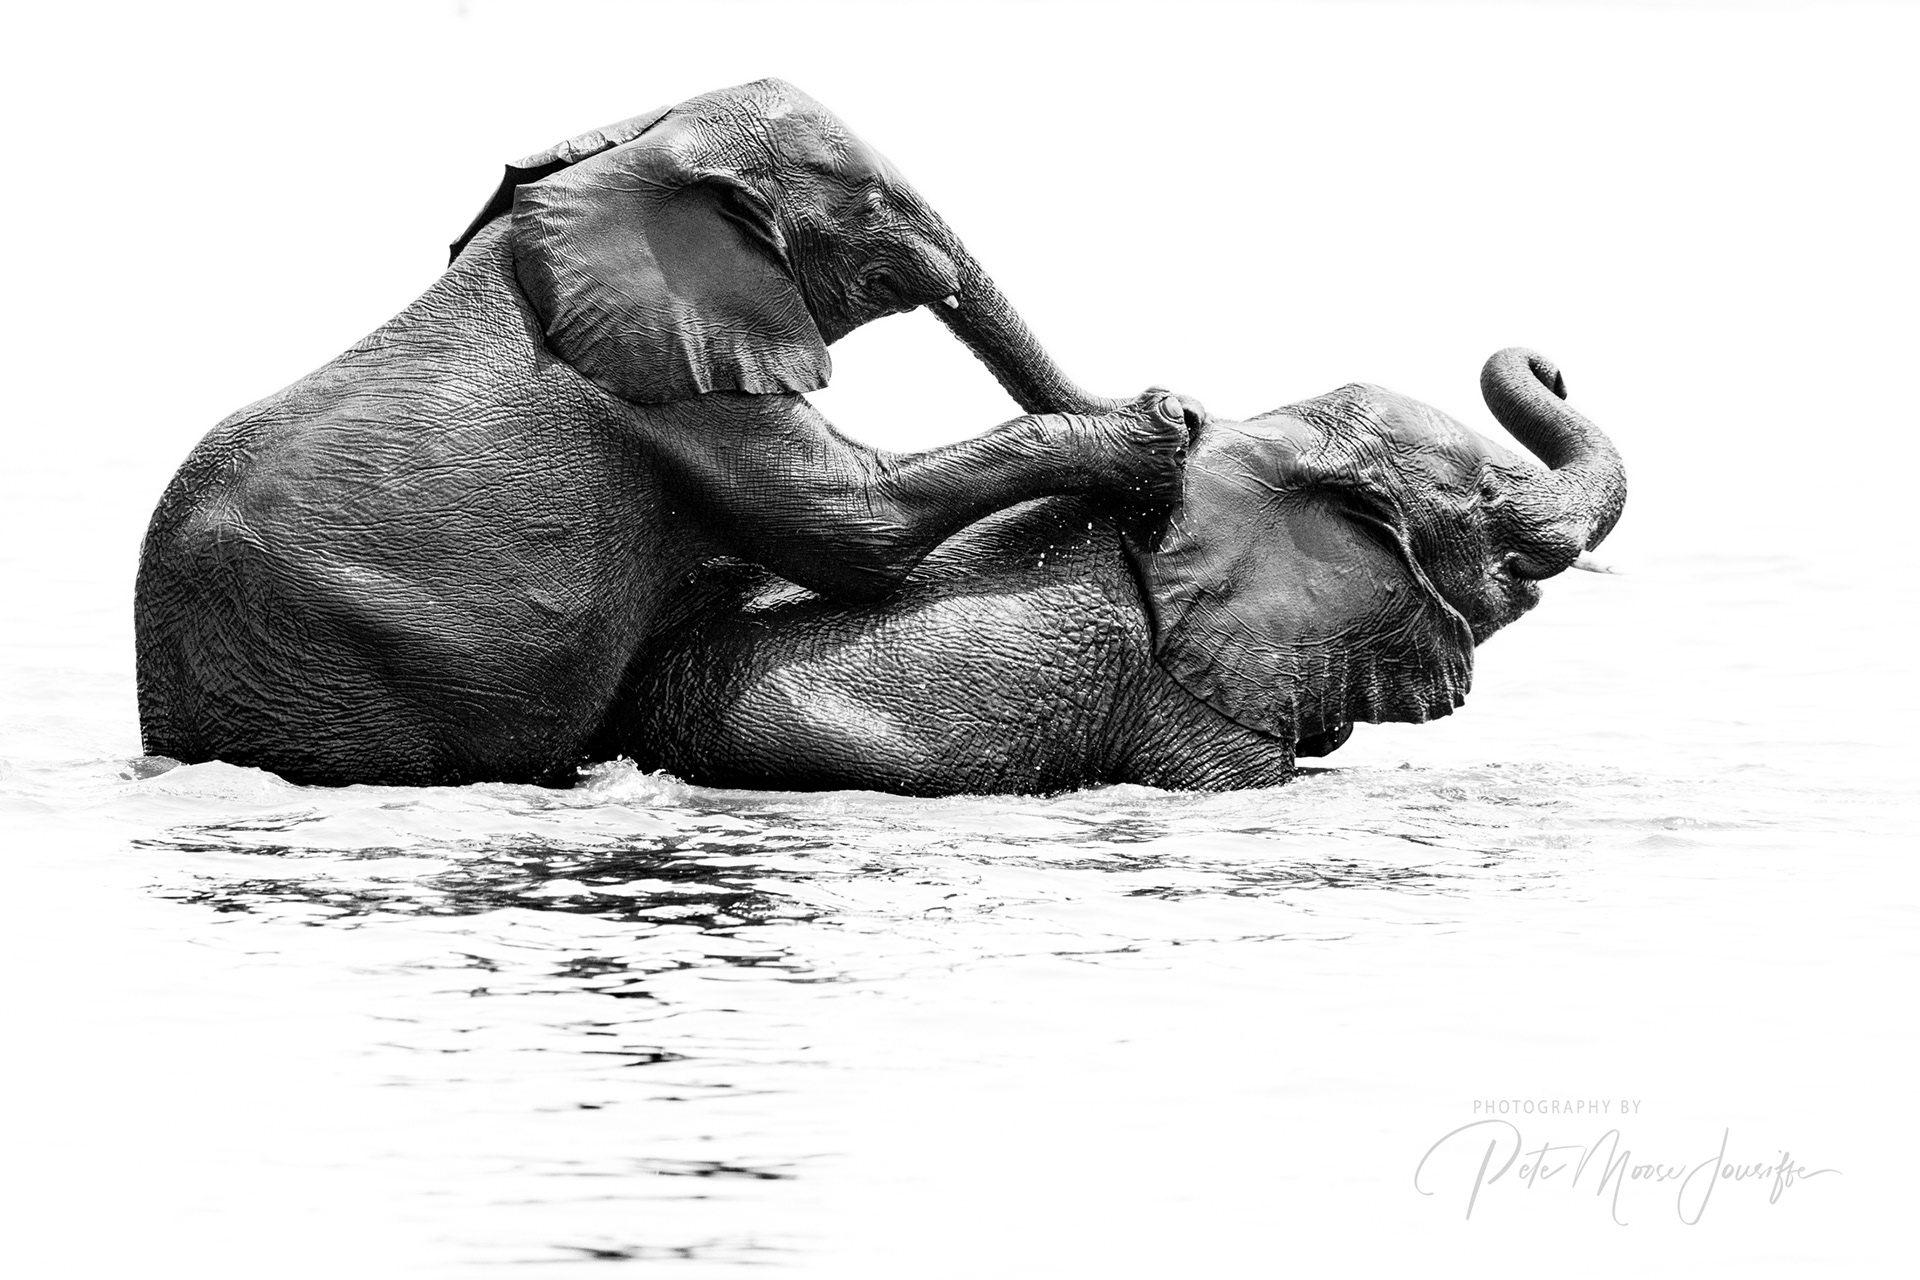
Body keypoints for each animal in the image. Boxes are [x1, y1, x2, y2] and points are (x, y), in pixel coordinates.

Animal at [135, 79, 1199, 787]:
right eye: (870, 200)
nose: (1177, 401)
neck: (631, 161)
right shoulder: (671, 384)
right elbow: (855, 528)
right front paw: (1154, 430)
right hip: (341, 682)